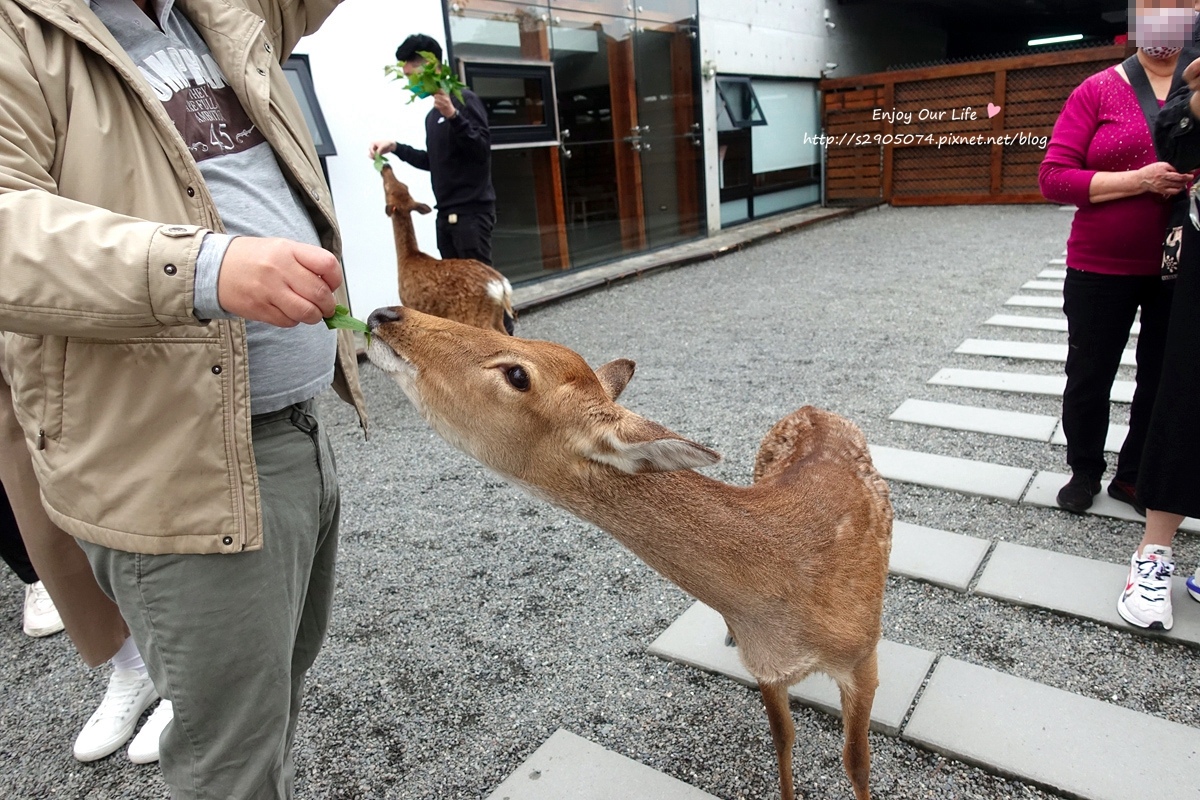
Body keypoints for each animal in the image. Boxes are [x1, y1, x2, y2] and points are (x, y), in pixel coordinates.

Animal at [362, 303, 892, 796]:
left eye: (517, 374)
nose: (386, 313)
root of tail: (812, 408)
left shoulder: (863, 655)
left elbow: (856, 761)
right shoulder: (765, 669)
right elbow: (783, 740)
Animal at [381, 165, 513, 335]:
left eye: (387, 188)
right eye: (403, 185)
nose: (386, 166)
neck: (407, 257)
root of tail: (500, 285)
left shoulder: (409, 304)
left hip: (474, 316)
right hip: (497, 316)